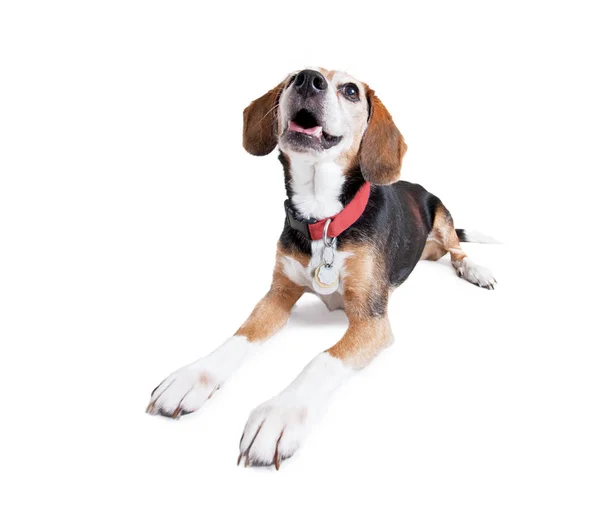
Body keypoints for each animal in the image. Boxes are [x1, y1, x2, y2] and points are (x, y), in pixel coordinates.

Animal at [145, 67, 496, 468]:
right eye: (290, 78)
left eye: (350, 90)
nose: (307, 79)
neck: (323, 219)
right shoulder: (278, 293)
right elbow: (242, 334)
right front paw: (194, 375)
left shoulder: (372, 321)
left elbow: (322, 359)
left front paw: (280, 413)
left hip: (441, 214)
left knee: (457, 249)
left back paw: (476, 270)